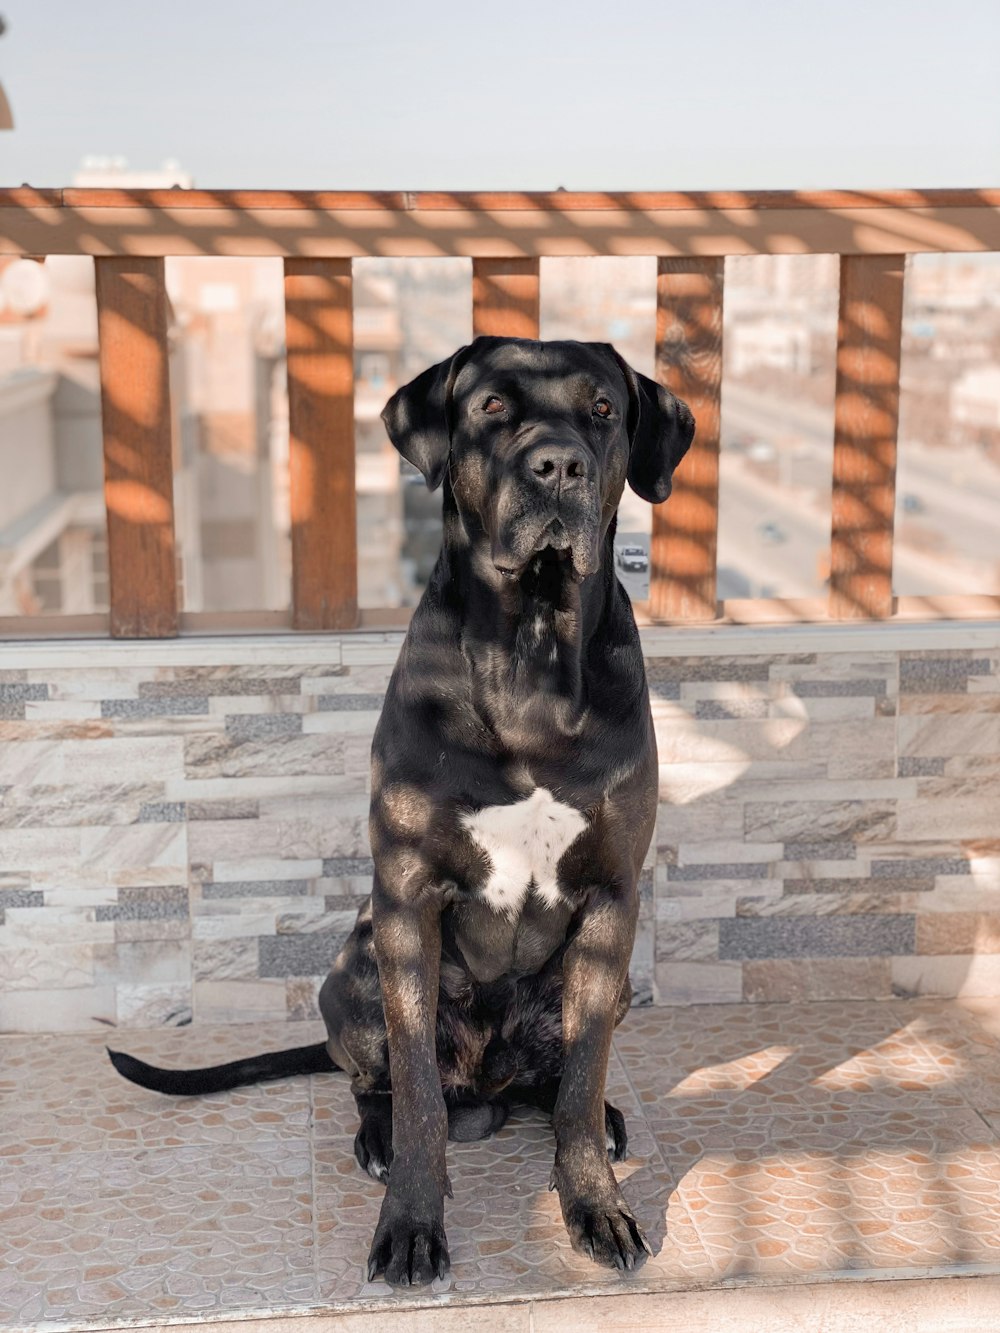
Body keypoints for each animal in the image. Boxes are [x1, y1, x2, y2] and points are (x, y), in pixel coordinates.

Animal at [108, 338, 688, 1285]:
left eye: (603, 409)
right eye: (491, 406)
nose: (558, 464)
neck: (529, 652)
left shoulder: (612, 896)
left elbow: (581, 1078)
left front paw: (595, 1203)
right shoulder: (406, 898)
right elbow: (417, 1092)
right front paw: (413, 1222)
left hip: (609, 984)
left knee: (561, 1074)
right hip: (353, 963)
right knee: (373, 1081)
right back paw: (377, 1134)